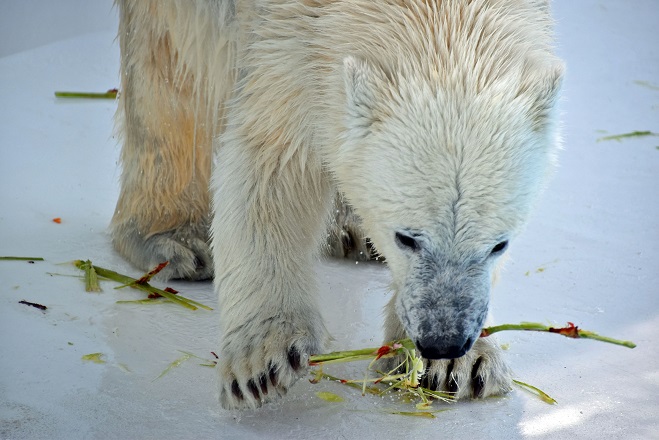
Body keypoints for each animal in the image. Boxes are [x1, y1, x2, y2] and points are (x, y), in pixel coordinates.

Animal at [112, 1, 564, 410]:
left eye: (499, 245)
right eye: (406, 238)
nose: (444, 341)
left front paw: (460, 368)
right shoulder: (288, 34)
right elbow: (271, 163)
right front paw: (262, 361)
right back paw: (175, 240)